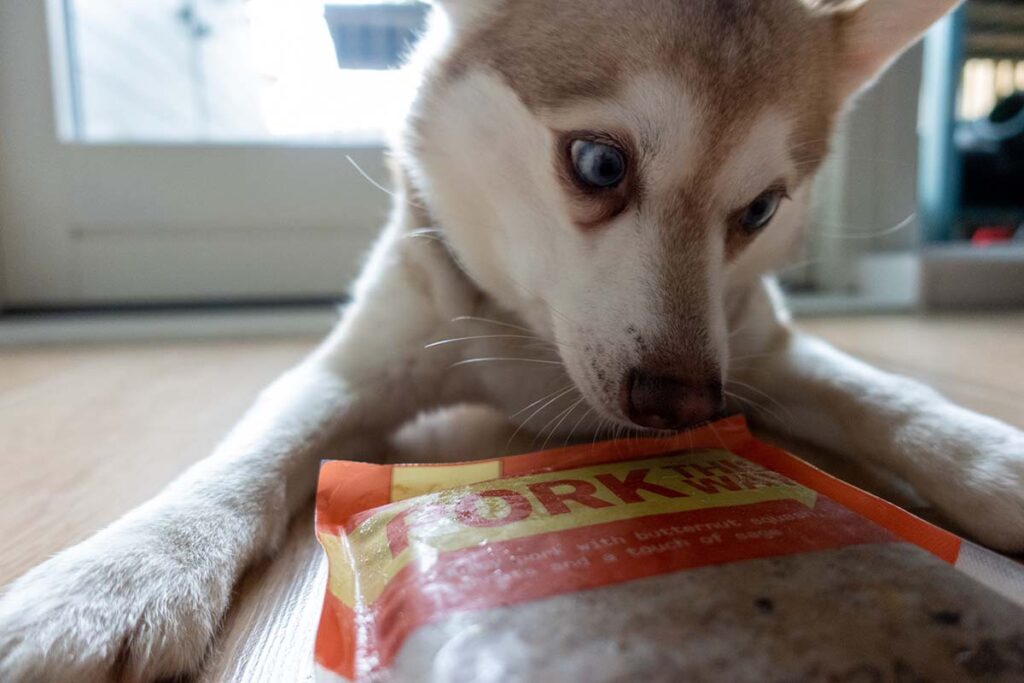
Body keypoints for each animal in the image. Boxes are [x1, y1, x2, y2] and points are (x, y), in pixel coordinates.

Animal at [0, 0, 1015, 679]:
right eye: (599, 163)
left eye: (760, 210)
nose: (684, 403)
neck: (535, 336)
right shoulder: (354, 367)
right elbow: (246, 461)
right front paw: (116, 577)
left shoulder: (753, 348)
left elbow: (894, 401)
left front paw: (997, 464)